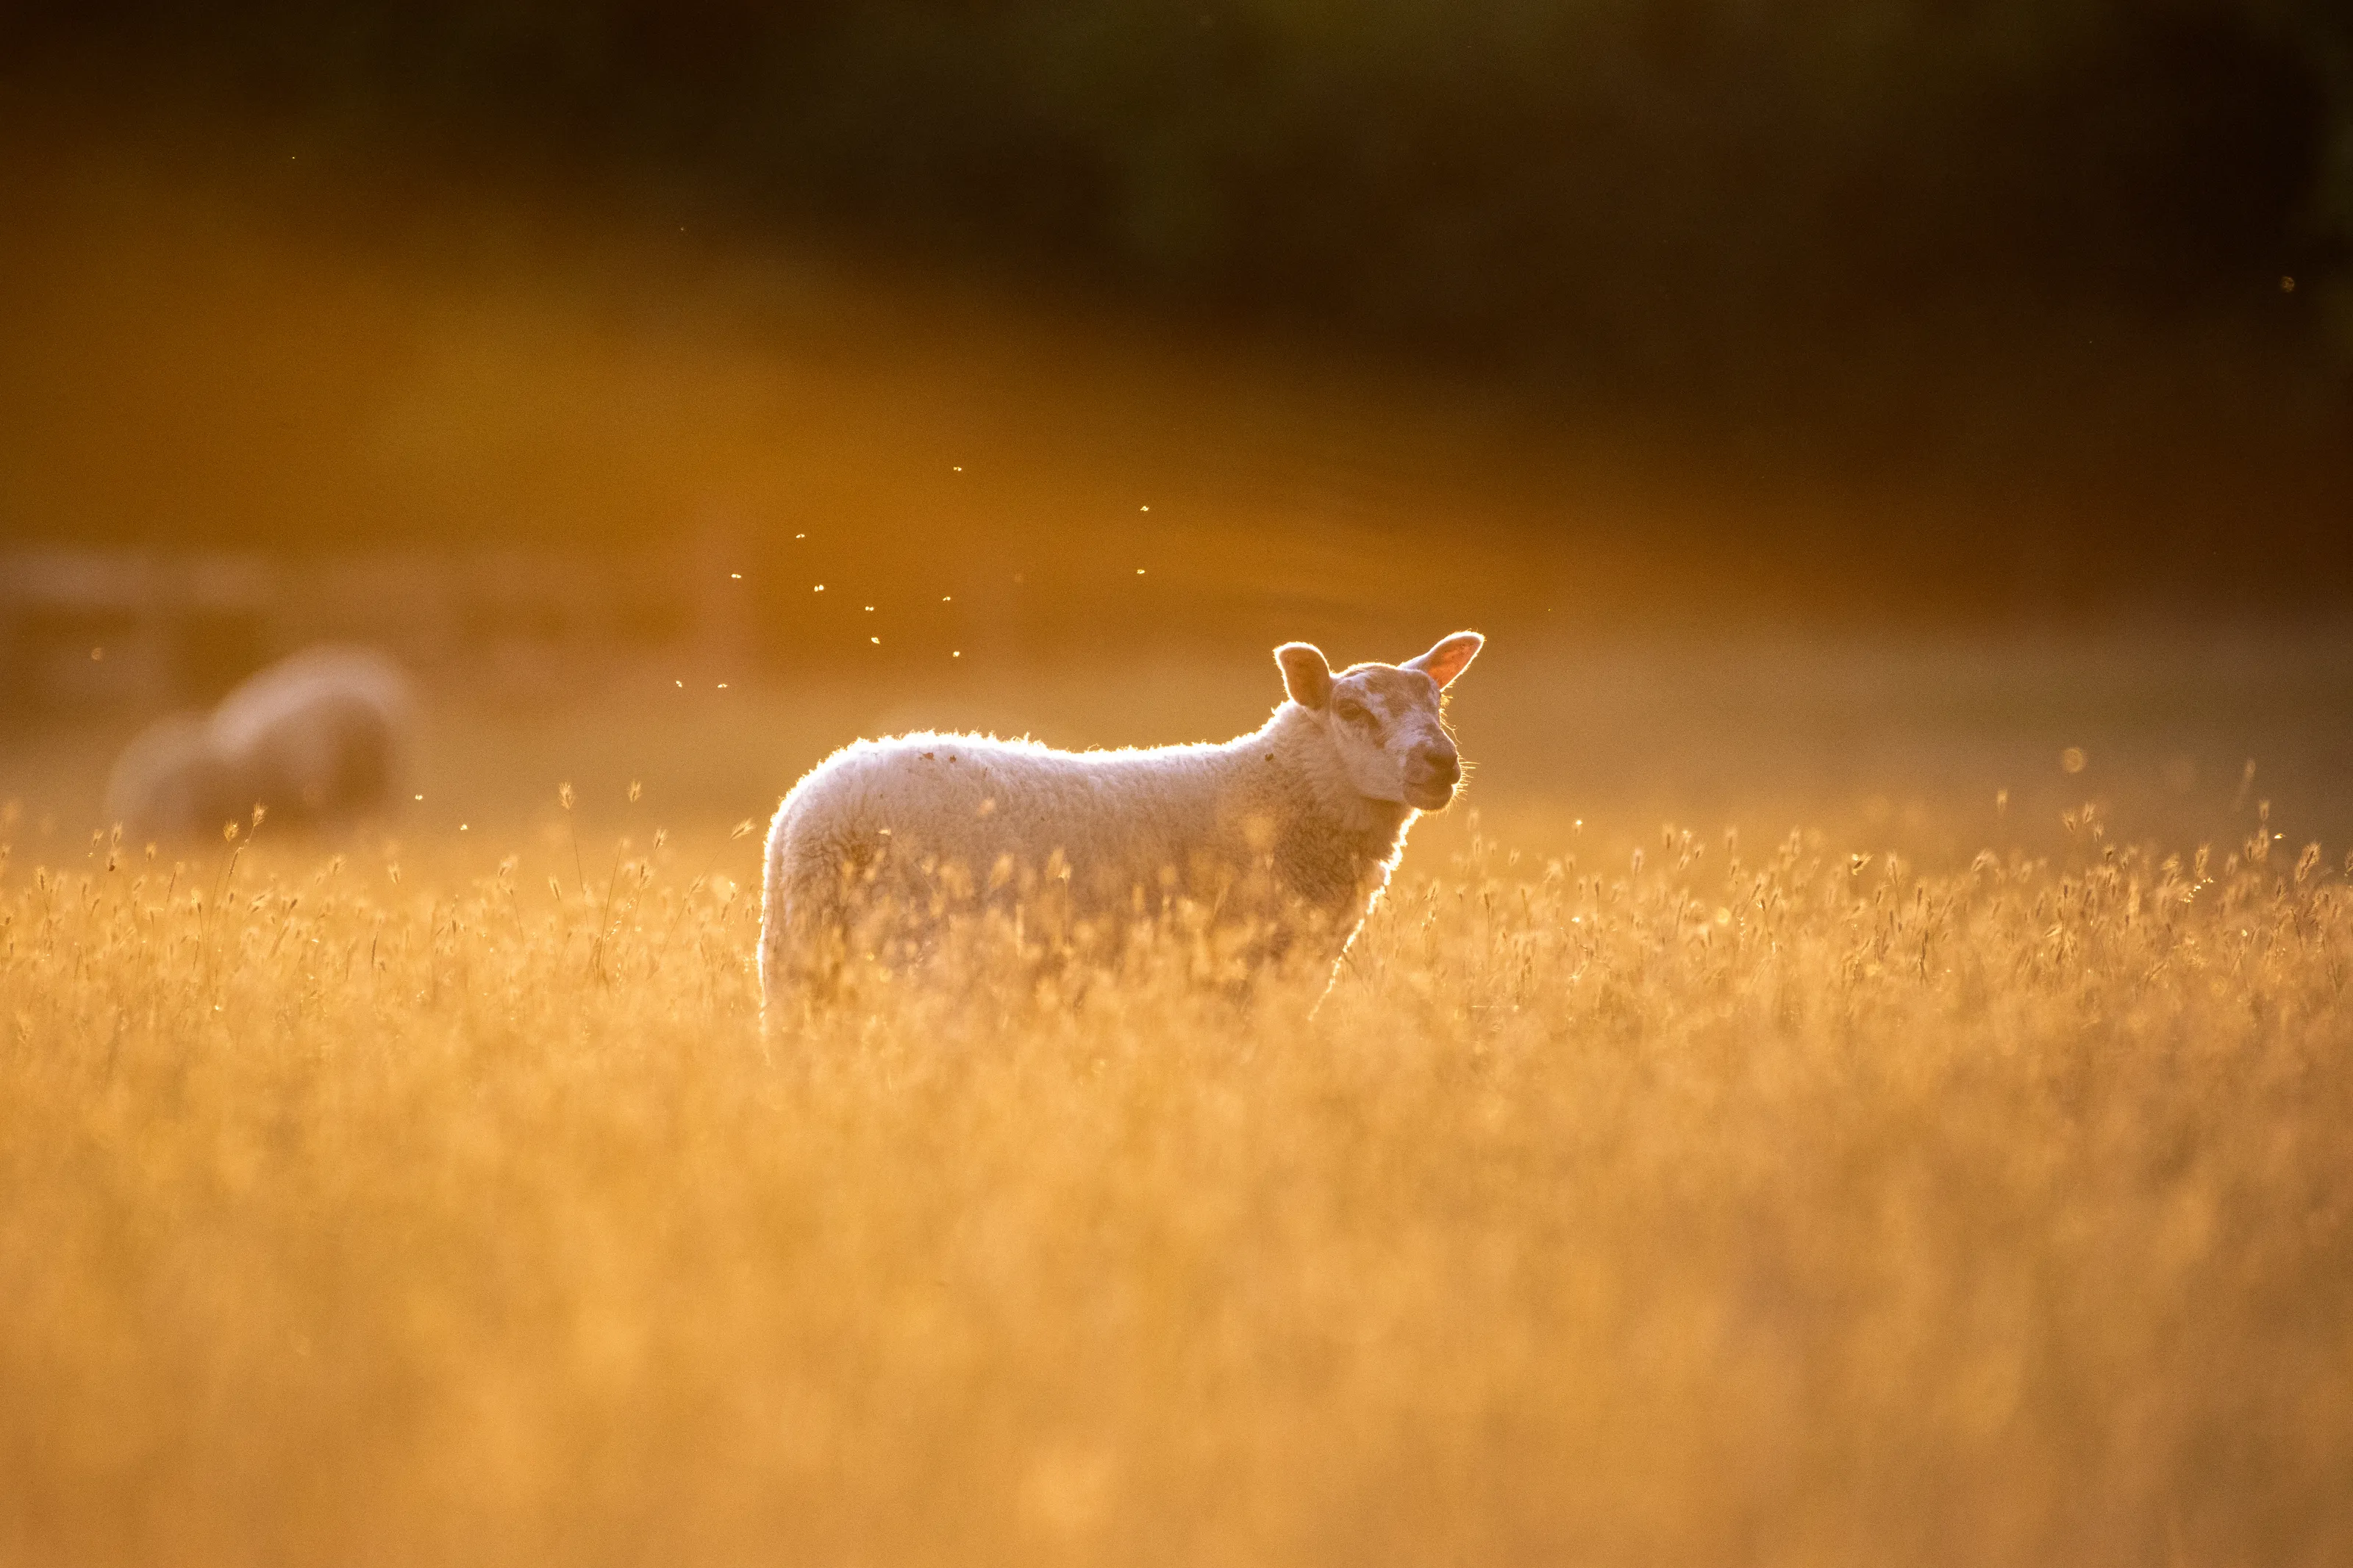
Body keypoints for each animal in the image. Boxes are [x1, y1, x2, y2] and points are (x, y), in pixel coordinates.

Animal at [760, 630, 1483, 1010]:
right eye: (1354, 712)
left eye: (1437, 703)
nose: (1441, 761)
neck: (1274, 793)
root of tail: (813, 812)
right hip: (918, 962)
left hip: (797, 973)